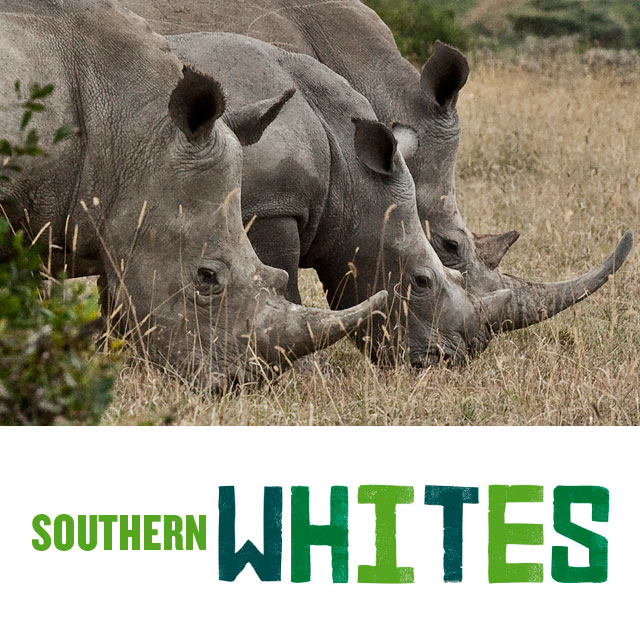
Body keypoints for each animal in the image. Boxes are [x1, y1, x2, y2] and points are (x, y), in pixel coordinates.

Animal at [168, 31, 515, 367]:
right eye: (421, 280)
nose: (453, 359)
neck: (350, 176)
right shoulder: (271, 208)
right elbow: (285, 286)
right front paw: (303, 369)